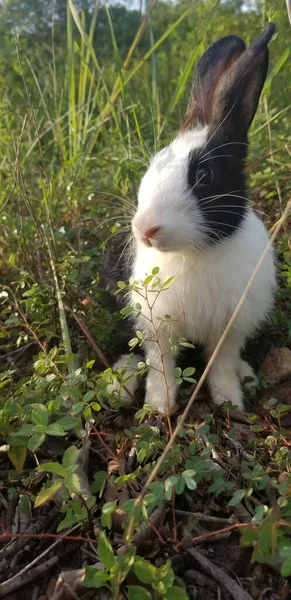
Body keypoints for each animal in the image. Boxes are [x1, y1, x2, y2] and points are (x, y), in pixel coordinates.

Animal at [108, 24, 278, 418]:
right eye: (154, 164)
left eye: (204, 175)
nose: (146, 229)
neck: (194, 253)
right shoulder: (156, 326)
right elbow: (161, 365)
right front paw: (159, 408)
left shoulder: (231, 329)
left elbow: (221, 364)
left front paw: (229, 400)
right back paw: (118, 388)